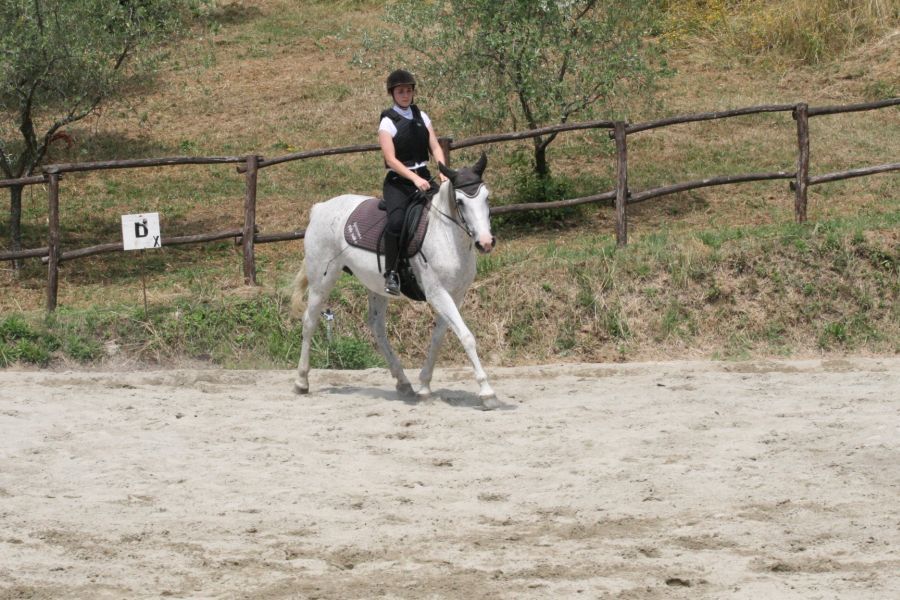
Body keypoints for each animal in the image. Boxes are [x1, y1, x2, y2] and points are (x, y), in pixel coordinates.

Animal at [290, 152, 500, 410]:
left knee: (377, 327)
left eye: (486, 197)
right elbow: (467, 337)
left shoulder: (455, 296)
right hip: (322, 280)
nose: (486, 242)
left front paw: (424, 386)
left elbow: (438, 338)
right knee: (309, 321)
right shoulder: (437, 294)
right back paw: (301, 381)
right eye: (460, 202)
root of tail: (320, 208)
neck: (446, 236)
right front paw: (487, 392)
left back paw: (403, 383)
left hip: (376, 287)